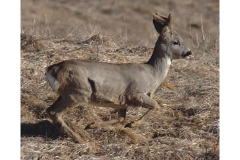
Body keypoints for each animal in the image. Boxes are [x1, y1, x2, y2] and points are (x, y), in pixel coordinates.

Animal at [45, 12, 192, 142]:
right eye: (176, 42)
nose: (189, 52)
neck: (152, 75)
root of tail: (52, 70)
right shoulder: (135, 93)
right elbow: (156, 105)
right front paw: (133, 124)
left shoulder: (122, 103)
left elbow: (121, 118)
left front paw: (91, 125)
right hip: (78, 92)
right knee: (55, 113)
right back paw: (79, 139)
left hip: (66, 94)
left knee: (49, 109)